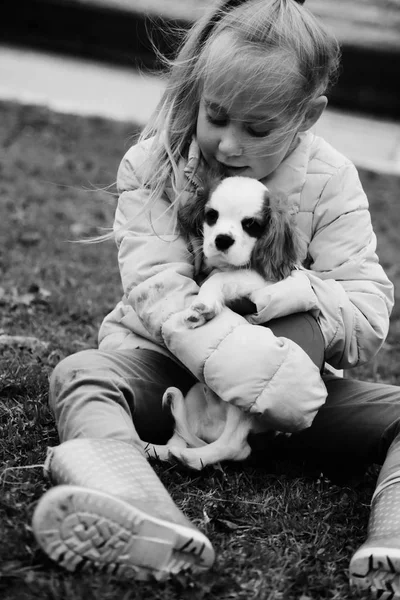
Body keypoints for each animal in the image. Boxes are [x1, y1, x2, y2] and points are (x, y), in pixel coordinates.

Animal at [144, 176, 306, 472]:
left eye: (250, 224)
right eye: (212, 216)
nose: (222, 239)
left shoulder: (263, 283)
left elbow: (219, 279)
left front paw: (203, 306)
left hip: (245, 397)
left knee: (235, 446)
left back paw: (192, 458)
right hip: (195, 393)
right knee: (179, 437)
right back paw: (156, 449)